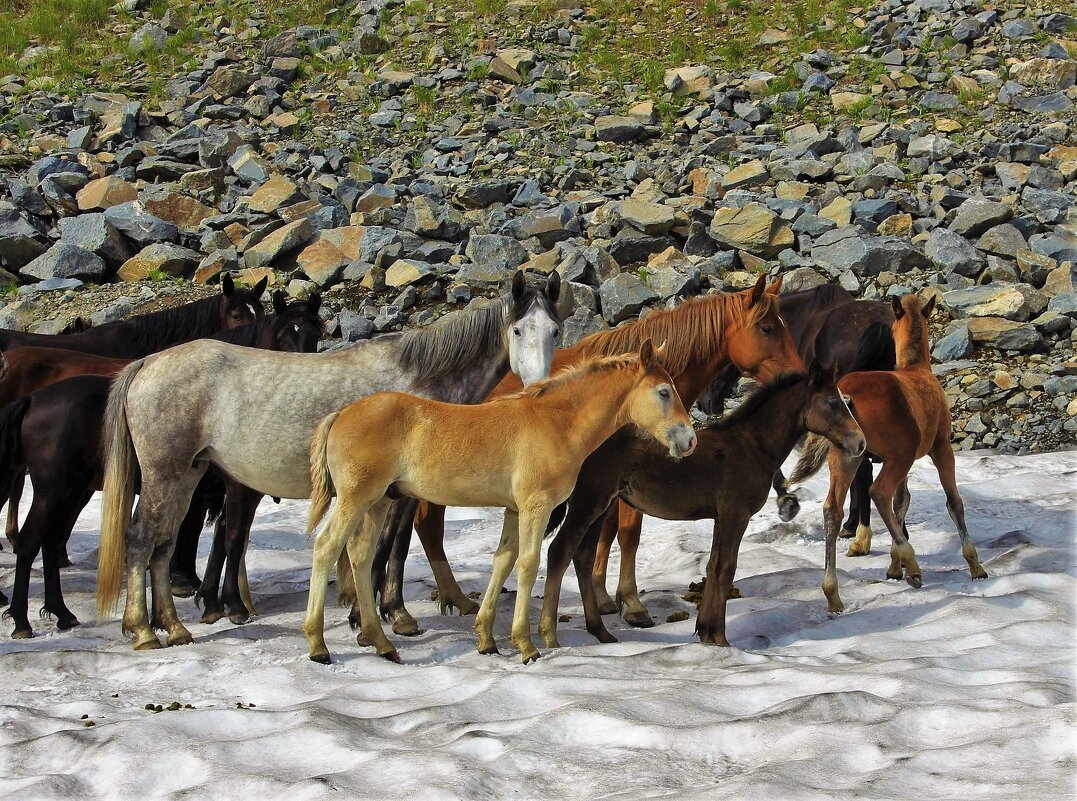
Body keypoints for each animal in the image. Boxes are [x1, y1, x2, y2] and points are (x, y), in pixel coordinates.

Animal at [0, 294, 320, 637]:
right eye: (283, 338)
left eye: (317, 336)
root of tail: (34, 399)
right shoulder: (236, 490)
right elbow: (231, 540)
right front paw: (228, 603)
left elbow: (219, 540)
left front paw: (210, 599)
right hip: (53, 489)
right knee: (30, 542)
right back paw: (21, 619)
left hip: (72, 490)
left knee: (49, 543)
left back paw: (61, 612)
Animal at [98, 272, 564, 645]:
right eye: (518, 330)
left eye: (555, 330)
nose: (540, 390)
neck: (419, 384)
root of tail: (148, 363)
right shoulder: (394, 493)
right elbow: (387, 548)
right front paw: (381, 615)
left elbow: (389, 548)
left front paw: (384, 612)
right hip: (165, 473)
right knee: (141, 540)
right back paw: (143, 629)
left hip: (187, 474)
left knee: (162, 544)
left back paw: (174, 627)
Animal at [308, 342, 693, 663]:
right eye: (664, 392)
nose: (689, 439)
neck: (556, 423)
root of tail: (342, 413)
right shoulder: (536, 506)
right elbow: (528, 564)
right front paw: (526, 645)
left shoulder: (513, 509)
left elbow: (503, 561)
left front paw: (487, 640)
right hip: (356, 498)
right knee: (326, 547)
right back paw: (318, 646)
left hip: (377, 502)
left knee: (359, 555)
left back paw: (382, 643)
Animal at [536, 359, 865, 645]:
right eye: (832, 403)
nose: (860, 443)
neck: (751, 444)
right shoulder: (736, 514)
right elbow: (726, 568)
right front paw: (719, 637)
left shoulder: (721, 516)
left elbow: (712, 566)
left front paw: (705, 630)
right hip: (589, 502)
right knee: (560, 551)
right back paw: (551, 636)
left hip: (601, 506)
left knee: (583, 555)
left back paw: (600, 632)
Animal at [788, 294, 986, 611]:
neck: (917, 370)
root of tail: (846, 396)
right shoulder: (941, 448)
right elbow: (953, 502)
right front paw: (975, 565)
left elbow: (902, 502)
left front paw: (894, 566)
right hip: (897, 457)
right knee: (878, 492)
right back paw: (913, 567)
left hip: (847, 458)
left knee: (833, 510)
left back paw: (833, 593)